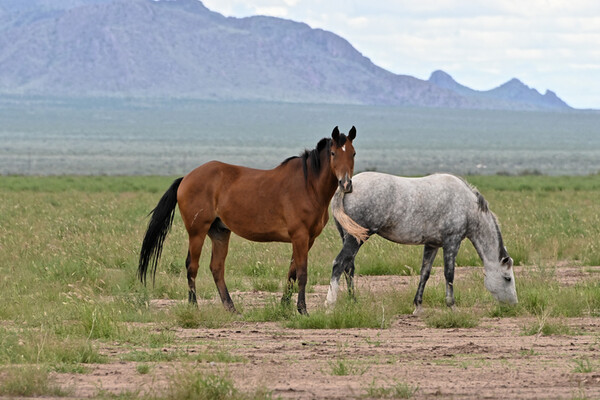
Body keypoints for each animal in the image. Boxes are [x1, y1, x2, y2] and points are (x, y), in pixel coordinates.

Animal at [139, 126, 356, 314]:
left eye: (353, 154)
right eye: (333, 153)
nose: (346, 184)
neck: (308, 185)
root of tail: (186, 178)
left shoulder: (307, 239)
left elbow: (292, 271)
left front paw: (284, 305)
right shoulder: (300, 236)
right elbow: (302, 273)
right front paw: (302, 309)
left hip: (219, 232)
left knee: (216, 268)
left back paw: (231, 308)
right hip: (197, 232)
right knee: (192, 266)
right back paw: (194, 307)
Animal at [326, 170, 516, 314]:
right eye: (507, 278)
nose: (514, 304)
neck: (468, 207)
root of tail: (347, 186)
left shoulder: (432, 245)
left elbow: (425, 273)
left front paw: (418, 307)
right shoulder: (452, 242)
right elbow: (449, 274)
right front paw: (452, 306)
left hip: (349, 237)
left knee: (349, 267)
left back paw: (353, 301)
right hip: (355, 239)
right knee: (339, 263)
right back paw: (330, 304)